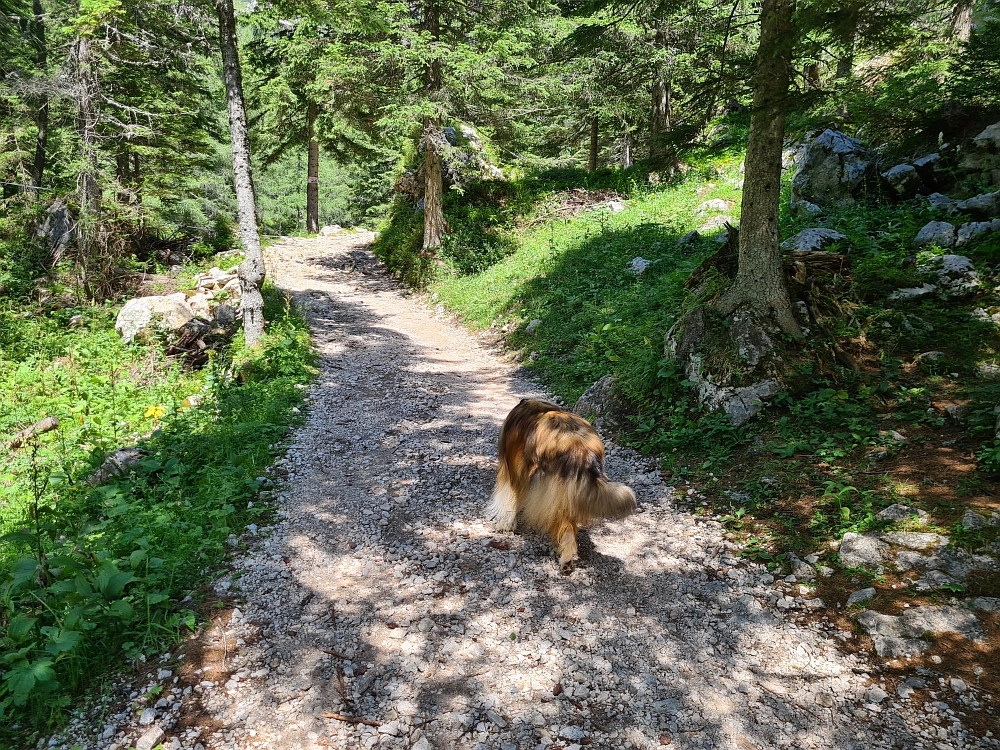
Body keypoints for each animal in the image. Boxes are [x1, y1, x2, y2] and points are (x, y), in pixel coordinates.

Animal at [488, 402, 636, 572]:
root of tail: (580, 449)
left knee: (562, 523)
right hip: (568, 493)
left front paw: (504, 524)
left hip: (549, 491)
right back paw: (568, 559)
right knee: (569, 527)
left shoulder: (512, 470)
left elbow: (508, 497)